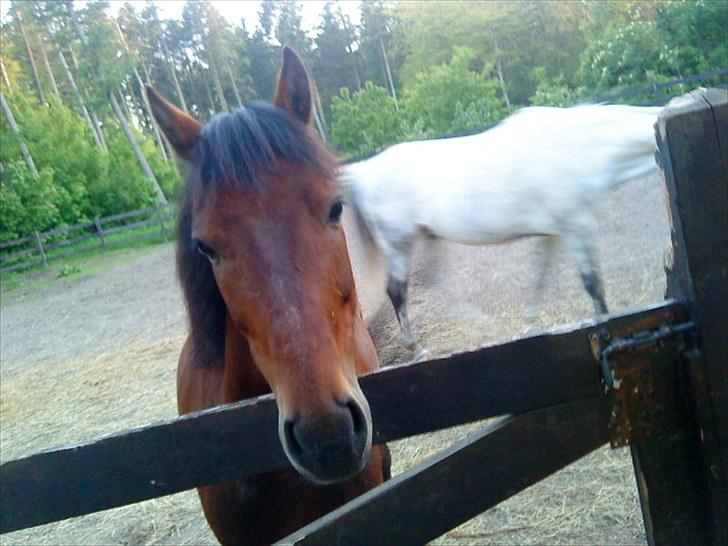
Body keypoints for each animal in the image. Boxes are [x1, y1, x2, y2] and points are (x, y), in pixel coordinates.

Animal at [343, 104, 662, 356]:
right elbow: (593, 285)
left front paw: (530, 325)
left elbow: (539, 278)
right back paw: (416, 349)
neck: (578, 146)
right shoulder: (578, 226)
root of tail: (364, 170)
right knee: (396, 291)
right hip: (399, 246)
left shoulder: (555, 234)